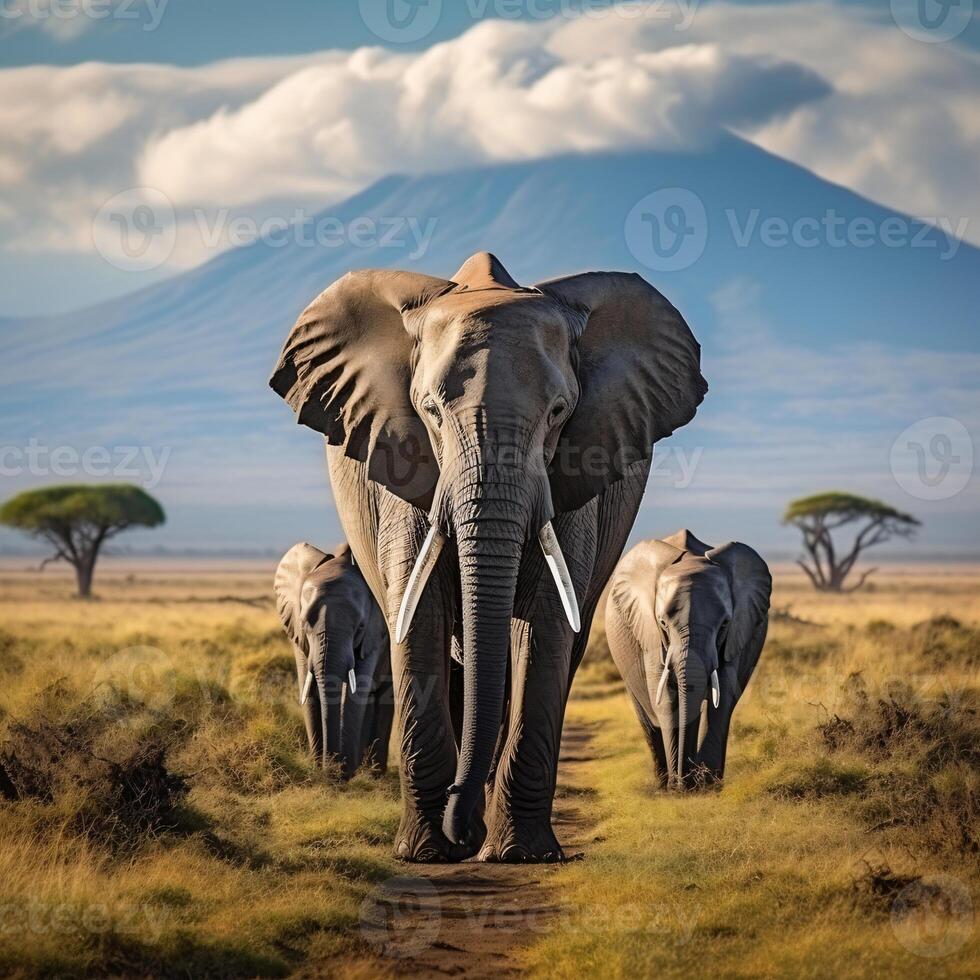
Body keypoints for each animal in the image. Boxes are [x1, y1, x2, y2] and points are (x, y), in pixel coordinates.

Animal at [274, 540, 392, 776]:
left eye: (360, 627)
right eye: (305, 624)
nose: (332, 769)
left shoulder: (375, 633)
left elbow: (356, 690)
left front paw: (343, 773)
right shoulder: (298, 636)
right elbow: (308, 686)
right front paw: (318, 769)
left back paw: (374, 773)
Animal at [604, 528, 772, 788]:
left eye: (724, 624)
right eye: (663, 623)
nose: (682, 782)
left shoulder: (736, 634)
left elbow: (722, 696)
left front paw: (706, 786)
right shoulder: (650, 635)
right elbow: (665, 698)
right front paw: (681, 787)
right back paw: (664, 784)